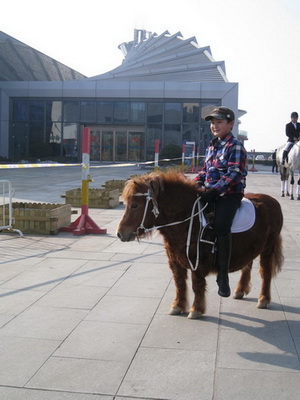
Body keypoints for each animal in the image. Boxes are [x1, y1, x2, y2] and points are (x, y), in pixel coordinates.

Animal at [116, 170, 282, 318]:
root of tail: (273, 201)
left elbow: (197, 285)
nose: (120, 233)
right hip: (250, 247)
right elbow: (179, 284)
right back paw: (240, 290)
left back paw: (263, 299)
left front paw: (196, 310)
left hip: (268, 248)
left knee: (265, 272)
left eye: (135, 205)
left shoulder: (197, 262)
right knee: (247, 266)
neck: (188, 219)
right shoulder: (175, 262)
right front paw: (177, 306)